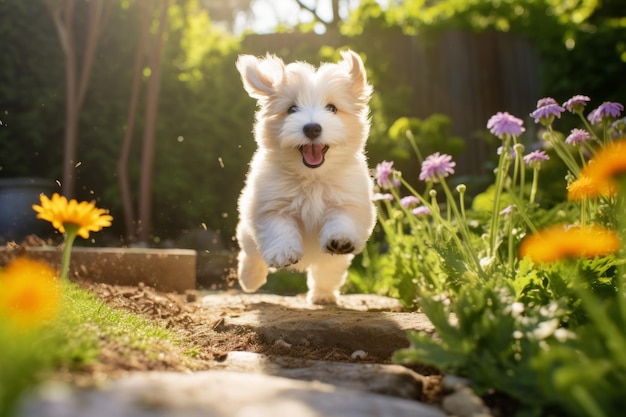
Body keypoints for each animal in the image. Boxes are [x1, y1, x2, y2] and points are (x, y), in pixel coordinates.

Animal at [233, 50, 370, 304]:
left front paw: (340, 240)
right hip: (247, 231)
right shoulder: (271, 205)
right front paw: (284, 253)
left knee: (327, 271)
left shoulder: (349, 201)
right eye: (291, 109)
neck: (311, 178)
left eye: (332, 108)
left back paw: (323, 296)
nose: (312, 128)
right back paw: (249, 279)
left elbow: (342, 220)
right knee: (251, 253)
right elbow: (280, 229)